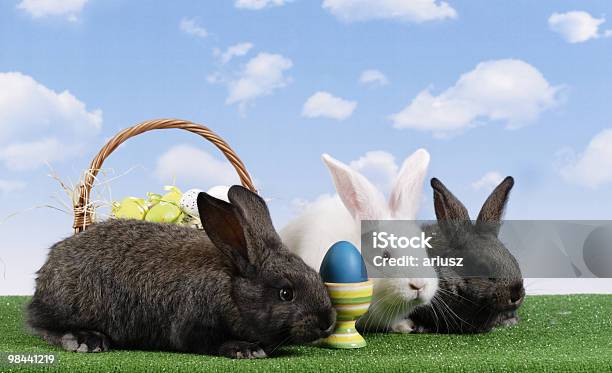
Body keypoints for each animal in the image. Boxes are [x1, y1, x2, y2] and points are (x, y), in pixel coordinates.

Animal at [27, 186, 334, 358]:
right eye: (286, 293)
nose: (327, 322)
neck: (233, 289)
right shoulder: (192, 325)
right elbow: (207, 342)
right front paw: (245, 349)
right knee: (41, 326)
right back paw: (86, 340)